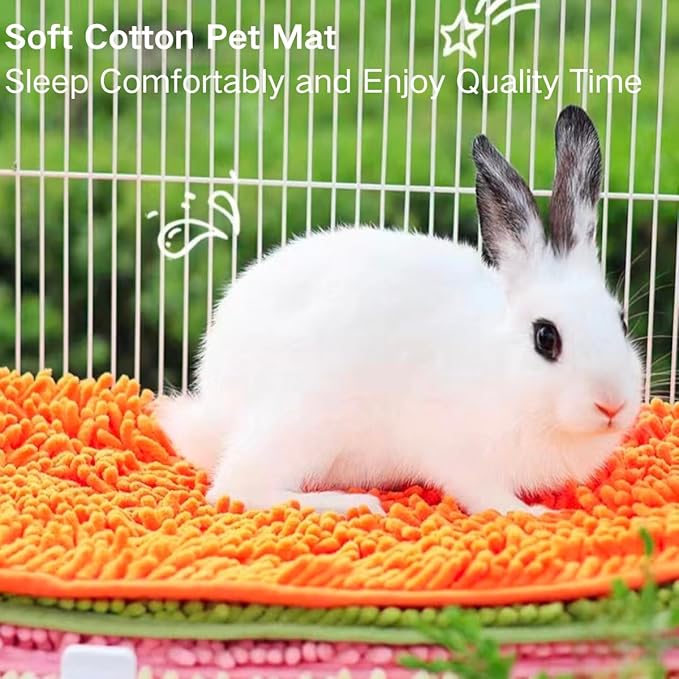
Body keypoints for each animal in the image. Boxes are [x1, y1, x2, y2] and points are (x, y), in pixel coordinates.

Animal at [155, 105, 642, 517]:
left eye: (620, 322)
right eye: (545, 337)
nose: (611, 404)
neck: (503, 370)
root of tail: (216, 394)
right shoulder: (457, 452)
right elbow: (486, 495)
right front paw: (535, 514)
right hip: (302, 419)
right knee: (235, 487)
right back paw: (352, 504)